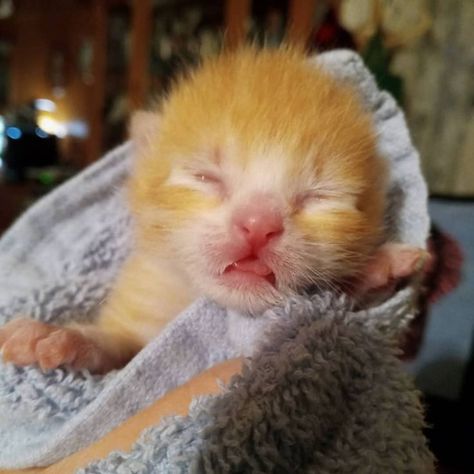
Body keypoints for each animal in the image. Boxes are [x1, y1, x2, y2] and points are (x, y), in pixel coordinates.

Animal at [0, 48, 426, 374]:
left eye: (318, 197)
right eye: (206, 177)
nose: (258, 225)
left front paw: (374, 270)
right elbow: (118, 348)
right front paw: (59, 336)